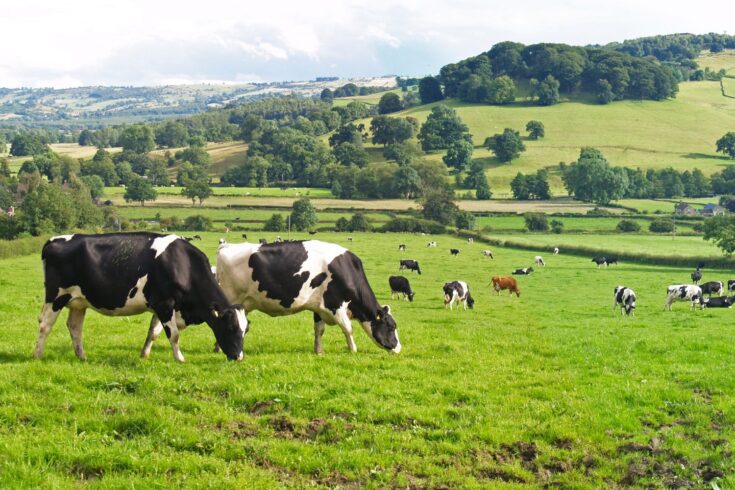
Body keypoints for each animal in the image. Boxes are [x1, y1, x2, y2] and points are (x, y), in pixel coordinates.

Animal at [35, 234, 247, 364]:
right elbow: (174, 334)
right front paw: (179, 358)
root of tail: (53, 240)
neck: (182, 264)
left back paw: (82, 356)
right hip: (57, 296)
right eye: (230, 328)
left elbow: (153, 333)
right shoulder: (164, 304)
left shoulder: (161, 306)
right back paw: (37, 354)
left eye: (246, 330)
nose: (239, 357)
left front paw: (144, 354)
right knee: (45, 324)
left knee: (74, 327)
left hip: (78, 301)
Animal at [217, 239, 402, 354]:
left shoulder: (319, 307)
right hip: (231, 298)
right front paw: (353, 350)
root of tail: (226, 247)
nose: (399, 348)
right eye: (391, 326)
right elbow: (348, 328)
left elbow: (319, 330)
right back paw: (220, 348)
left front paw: (318, 351)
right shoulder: (335, 304)